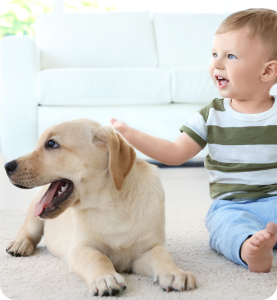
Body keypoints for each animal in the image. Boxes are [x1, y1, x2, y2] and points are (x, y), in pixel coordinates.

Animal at [3, 119, 194, 296]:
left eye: (51, 144)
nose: (7, 166)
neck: (110, 205)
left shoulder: (147, 249)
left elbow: (162, 255)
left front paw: (174, 273)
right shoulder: (80, 247)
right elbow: (97, 257)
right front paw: (106, 278)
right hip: (34, 214)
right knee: (29, 231)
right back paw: (20, 243)